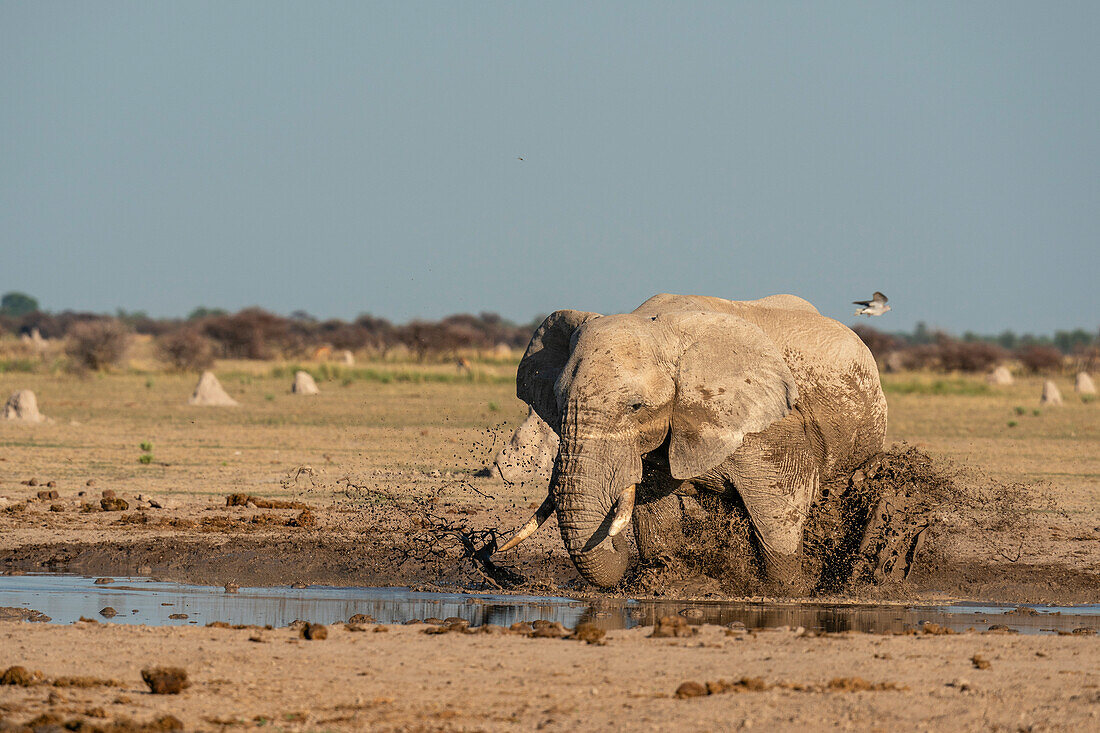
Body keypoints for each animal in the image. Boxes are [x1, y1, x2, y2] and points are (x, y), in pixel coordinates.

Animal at [495, 290, 888, 589]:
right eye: (559, 403)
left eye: (636, 407)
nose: (489, 547)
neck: (659, 326)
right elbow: (654, 512)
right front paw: (663, 576)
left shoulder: (774, 427)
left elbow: (779, 512)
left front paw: (788, 590)